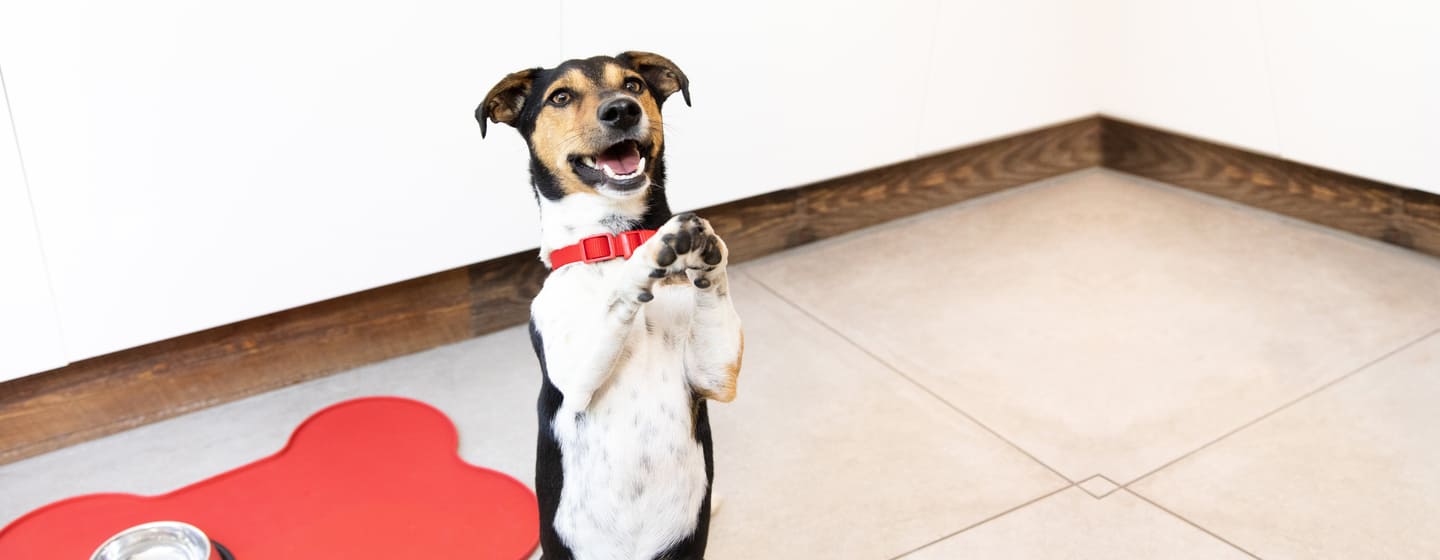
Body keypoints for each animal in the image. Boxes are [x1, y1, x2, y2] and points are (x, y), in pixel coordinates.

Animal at [478, 50, 743, 555]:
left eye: (634, 84)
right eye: (560, 96)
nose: (622, 110)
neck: (612, 241)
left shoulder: (715, 376)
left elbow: (713, 285)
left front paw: (704, 245)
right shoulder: (575, 379)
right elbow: (618, 295)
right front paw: (650, 254)